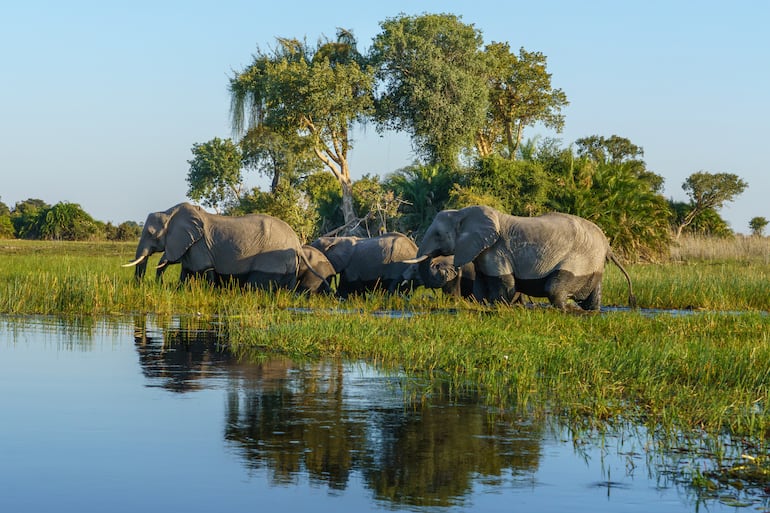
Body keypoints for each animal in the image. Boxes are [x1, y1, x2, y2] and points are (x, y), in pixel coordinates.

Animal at [123, 202, 326, 291]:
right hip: (289, 261)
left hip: (272, 258)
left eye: (151, 233)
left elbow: (204, 271)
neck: (169, 211)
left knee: (256, 283)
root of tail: (297, 243)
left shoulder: (199, 246)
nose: (138, 287)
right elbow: (187, 272)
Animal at [406, 205, 635, 311]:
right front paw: (485, 306)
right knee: (591, 296)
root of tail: (607, 245)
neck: (463, 212)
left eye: (438, 235)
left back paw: (567, 309)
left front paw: (500, 308)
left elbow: (503, 284)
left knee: (554, 289)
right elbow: (481, 284)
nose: (437, 266)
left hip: (579, 258)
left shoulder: (497, 250)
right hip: (592, 264)